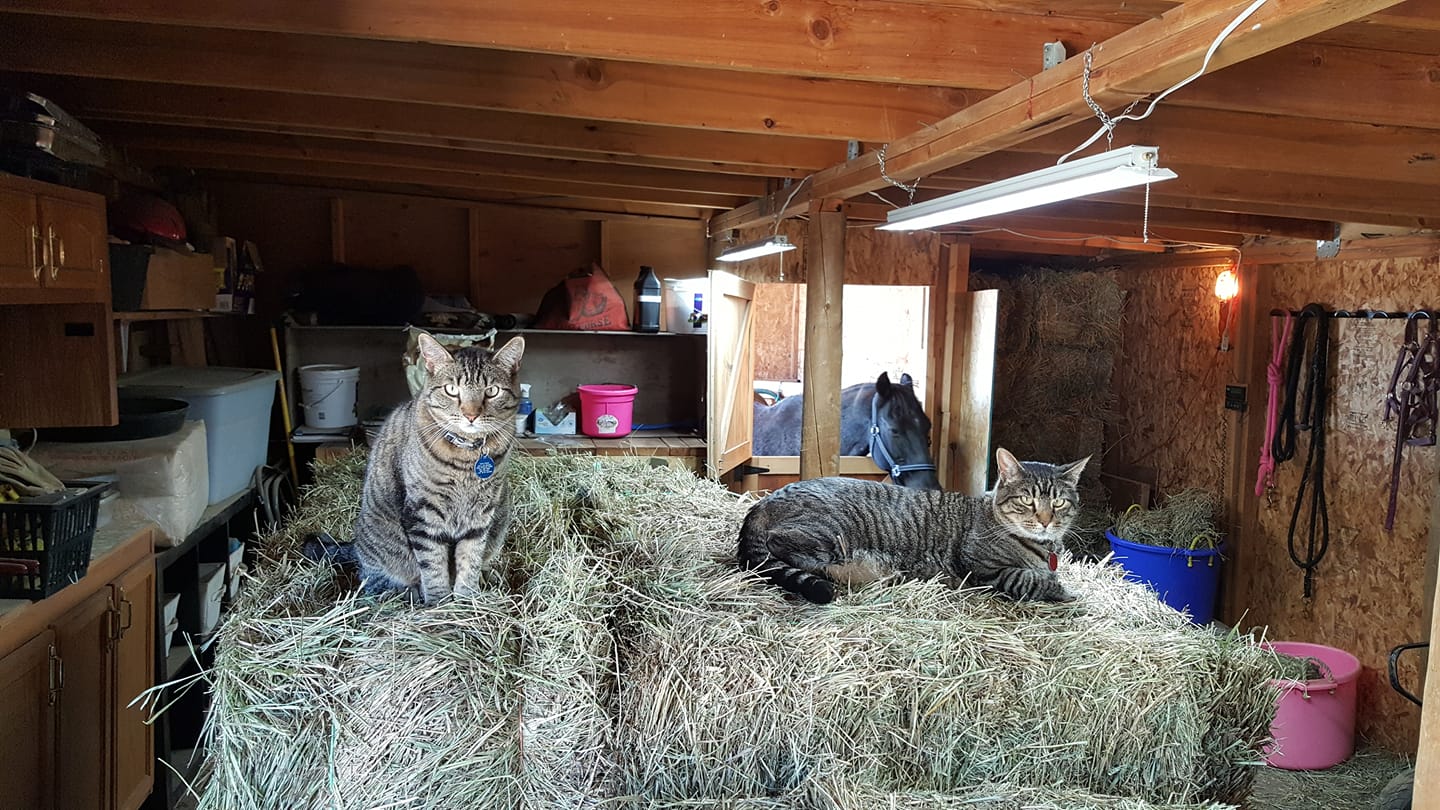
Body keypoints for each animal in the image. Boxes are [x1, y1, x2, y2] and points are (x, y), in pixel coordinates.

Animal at [737, 446, 1082, 599]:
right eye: (1027, 500)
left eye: (1059, 502)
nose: (1046, 521)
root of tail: (760, 505)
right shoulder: (983, 569)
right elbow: (1028, 579)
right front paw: (1067, 593)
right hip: (831, 532)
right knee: (787, 551)